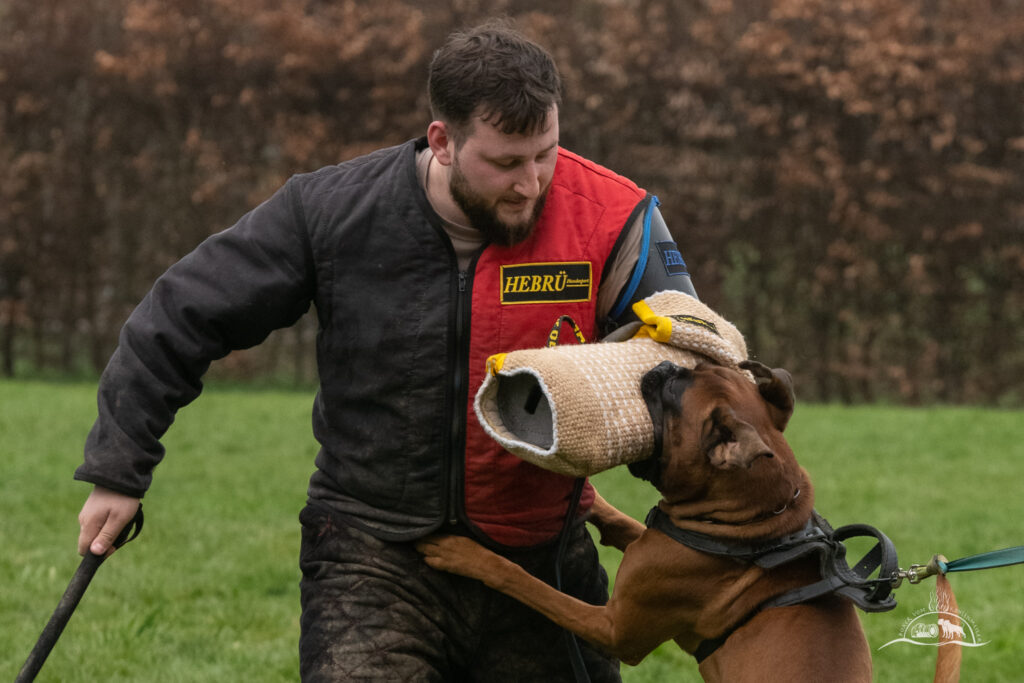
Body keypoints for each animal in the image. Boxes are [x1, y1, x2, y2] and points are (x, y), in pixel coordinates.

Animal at [419, 360, 876, 679]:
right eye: (693, 370)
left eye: (674, 392)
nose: (665, 365)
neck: (754, 524)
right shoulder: (653, 541)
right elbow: (622, 523)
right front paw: (593, 500)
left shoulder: (612, 628)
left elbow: (524, 580)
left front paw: (464, 554)